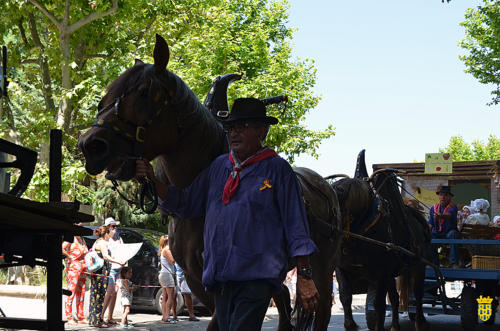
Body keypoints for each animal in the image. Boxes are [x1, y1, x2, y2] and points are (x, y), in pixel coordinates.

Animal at [79, 34, 344, 331]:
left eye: (144, 92)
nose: (91, 145)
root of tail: (326, 187)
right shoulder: (197, 279)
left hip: (323, 268)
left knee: (320, 307)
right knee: (285, 301)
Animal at [330, 152, 432, 331]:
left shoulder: (381, 274)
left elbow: (378, 304)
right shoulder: (342, 269)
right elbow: (345, 297)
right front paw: (350, 325)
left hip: (419, 265)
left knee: (418, 294)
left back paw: (420, 322)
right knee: (395, 298)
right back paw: (395, 326)